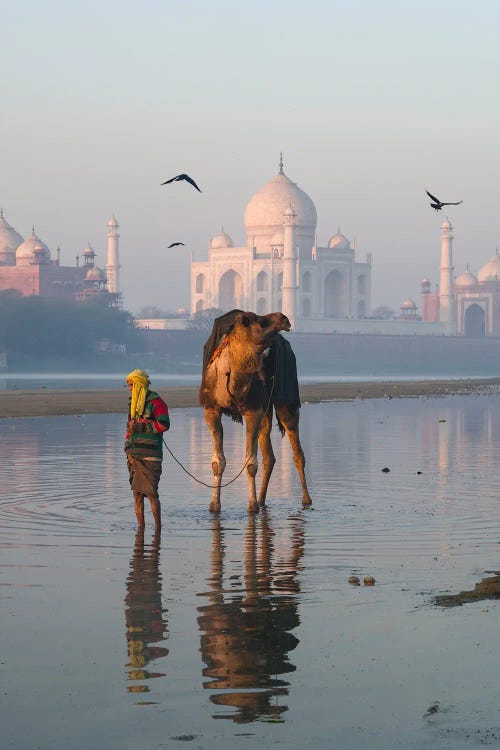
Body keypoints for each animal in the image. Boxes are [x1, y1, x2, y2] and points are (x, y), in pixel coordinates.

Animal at [200, 308, 312, 516]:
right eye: (260, 321)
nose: (284, 318)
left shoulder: (252, 410)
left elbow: (251, 463)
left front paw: (251, 507)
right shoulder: (211, 409)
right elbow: (218, 462)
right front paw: (214, 506)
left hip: (284, 397)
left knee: (296, 449)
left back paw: (306, 500)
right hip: (265, 410)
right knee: (269, 455)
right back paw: (262, 499)